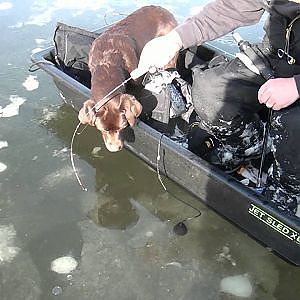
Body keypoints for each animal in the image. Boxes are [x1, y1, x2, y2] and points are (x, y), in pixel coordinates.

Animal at [78, 6, 178, 152]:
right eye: (103, 129)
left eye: (123, 127)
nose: (115, 149)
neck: (107, 63)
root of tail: (165, 10)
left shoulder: (137, 81)